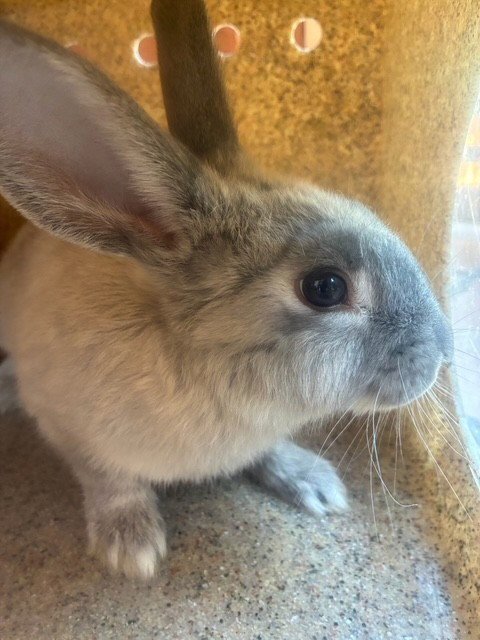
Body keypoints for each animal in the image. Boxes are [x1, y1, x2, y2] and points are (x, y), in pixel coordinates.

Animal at [0, 0, 452, 580]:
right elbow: (110, 481)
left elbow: (268, 453)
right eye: (325, 287)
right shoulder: (69, 428)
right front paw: (133, 550)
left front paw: (316, 485)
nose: (442, 353)